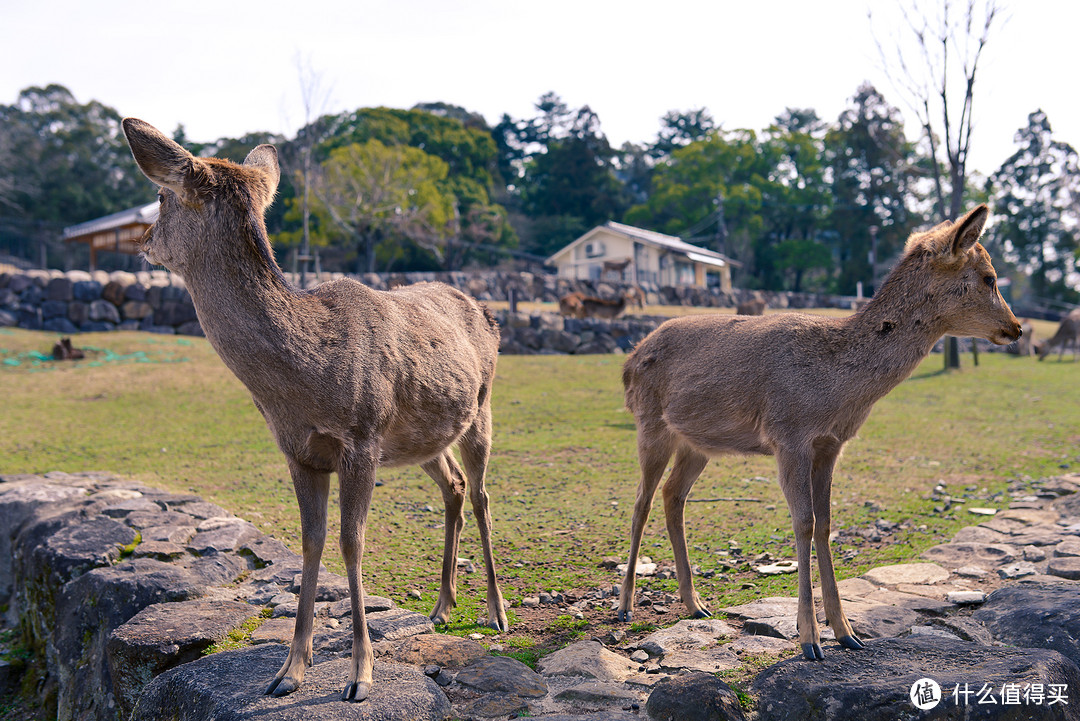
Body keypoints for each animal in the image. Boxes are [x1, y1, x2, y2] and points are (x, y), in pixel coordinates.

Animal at [120, 119, 507, 703]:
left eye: (163, 196)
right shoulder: (298, 450)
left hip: (480, 406)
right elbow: (311, 542)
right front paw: (288, 672)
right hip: (422, 437)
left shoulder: (363, 437)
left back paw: (495, 611)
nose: (143, 242)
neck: (304, 382)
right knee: (455, 486)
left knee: (482, 492)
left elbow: (352, 543)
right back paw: (442, 605)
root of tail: (487, 310)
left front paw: (360, 675)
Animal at [617, 205, 1019, 660]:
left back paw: (695, 603)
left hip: (698, 443)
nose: (1017, 327)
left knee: (672, 495)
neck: (835, 390)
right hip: (650, 424)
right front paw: (809, 639)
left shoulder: (830, 444)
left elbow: (825, 523)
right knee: (640, 501)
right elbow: (804, 522)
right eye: (989, 276)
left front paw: (846, 632)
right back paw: (625, 605)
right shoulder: (788, 435)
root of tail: (629, 360)